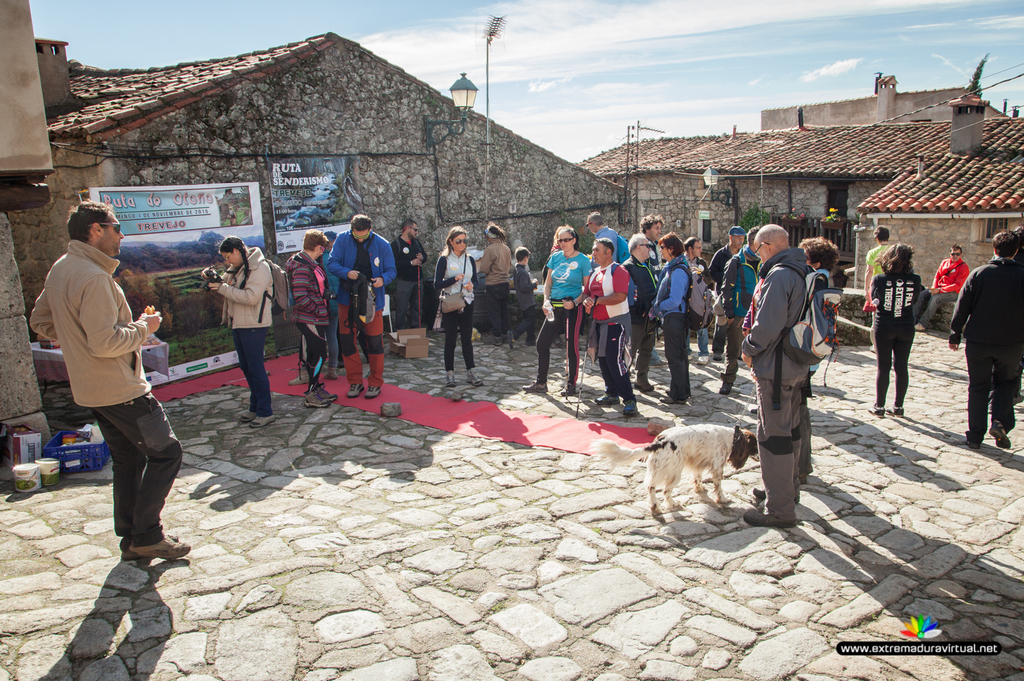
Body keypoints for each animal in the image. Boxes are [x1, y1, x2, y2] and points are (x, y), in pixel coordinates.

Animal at [593, 421, 761, 512]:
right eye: (755, 446)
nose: (760, 457)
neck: (732, 438)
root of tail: (660, 441)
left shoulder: (698, 462)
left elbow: (698, 477)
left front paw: (700, 488)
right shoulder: (717, 467)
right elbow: (719, 486)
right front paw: (723, 499)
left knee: (651, 487)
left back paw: (655, 506)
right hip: (675, 471)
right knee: (663, 490)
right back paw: (670, 504)